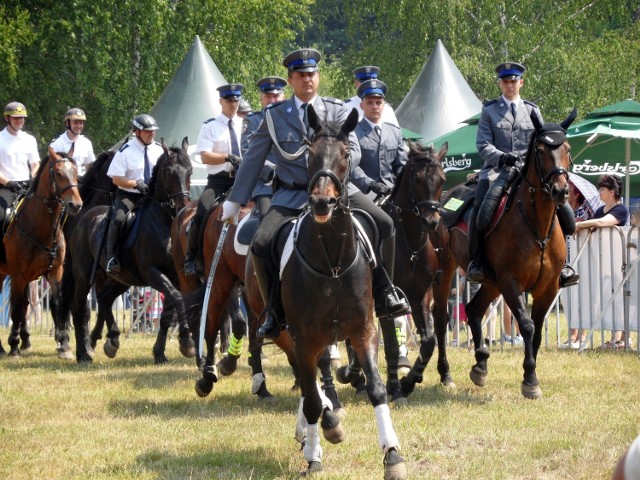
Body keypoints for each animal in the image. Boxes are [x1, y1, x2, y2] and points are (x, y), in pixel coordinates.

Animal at [0, 149, 82, 356]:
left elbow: (57, 305)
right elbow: (16, 310)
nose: (76, 205)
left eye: (76, 173)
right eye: (58, 173)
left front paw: (64, 345)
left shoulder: (55, 273)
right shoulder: (18, 275)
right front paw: (14, 347)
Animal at [65, 137, 196, 362]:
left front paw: (160, 352)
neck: (164, 223)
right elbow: (177, 299)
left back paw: (112, 340)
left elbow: (168, 312)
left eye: (190, 171)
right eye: (169, 171)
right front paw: (186, 342)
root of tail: (85, 218)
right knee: (79, 308)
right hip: (83, 276)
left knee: (104, 299)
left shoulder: (175, 276)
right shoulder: (152, 273)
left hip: (123, 279)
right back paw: (84, 353)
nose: (182, 207)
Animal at [284, 107, 408, 478]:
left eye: (346, 155)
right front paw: (314, 454)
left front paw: (392, 453)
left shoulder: (364, 329)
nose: (322, 202)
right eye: (309, 154)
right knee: (309, 385)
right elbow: (312, 395)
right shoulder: (303, 338)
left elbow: (377, 388)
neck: (332, 263)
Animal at [336, 141, 450, 404]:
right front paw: (396, 388)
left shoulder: (420, 296)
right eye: (417, 179)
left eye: (442, 179)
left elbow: (428, 341)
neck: (410, 243)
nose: (431, 222)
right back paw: (355, 376)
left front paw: (410, 381)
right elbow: (390, 345)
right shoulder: (386, 300)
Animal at [430, 110, 576, 400]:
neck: (537, 226)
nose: (560, 191)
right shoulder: (511, 282)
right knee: (441, 318)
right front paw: (530, 380)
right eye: (540, 150)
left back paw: (480, 364)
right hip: (448, 271)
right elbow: (527, 325)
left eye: (566, 148)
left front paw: (529, 375)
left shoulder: (548, 287)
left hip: (490, 282)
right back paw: (446, 374)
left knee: (473, 310)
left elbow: (537, 330)